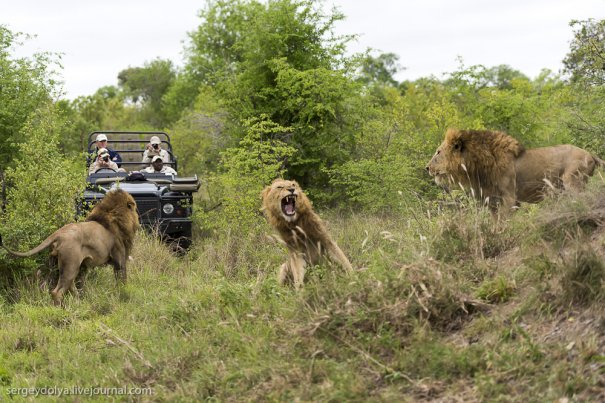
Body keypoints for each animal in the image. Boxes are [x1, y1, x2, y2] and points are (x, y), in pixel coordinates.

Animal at [0, 189, 138, 306]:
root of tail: (58, 233)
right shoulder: (119, 261)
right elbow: (122, 281)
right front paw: (124, 296)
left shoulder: (85, 267)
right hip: (71, 265)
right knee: (57, 291)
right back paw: (61, 309)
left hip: (63, 266)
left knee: (68, 286)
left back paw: (79, 302)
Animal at [428, 129, 600, 215]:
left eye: (438, 152)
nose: (426, 168)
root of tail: (590, 154)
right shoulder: (491, 200)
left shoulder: (509, 198)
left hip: (572, 181)